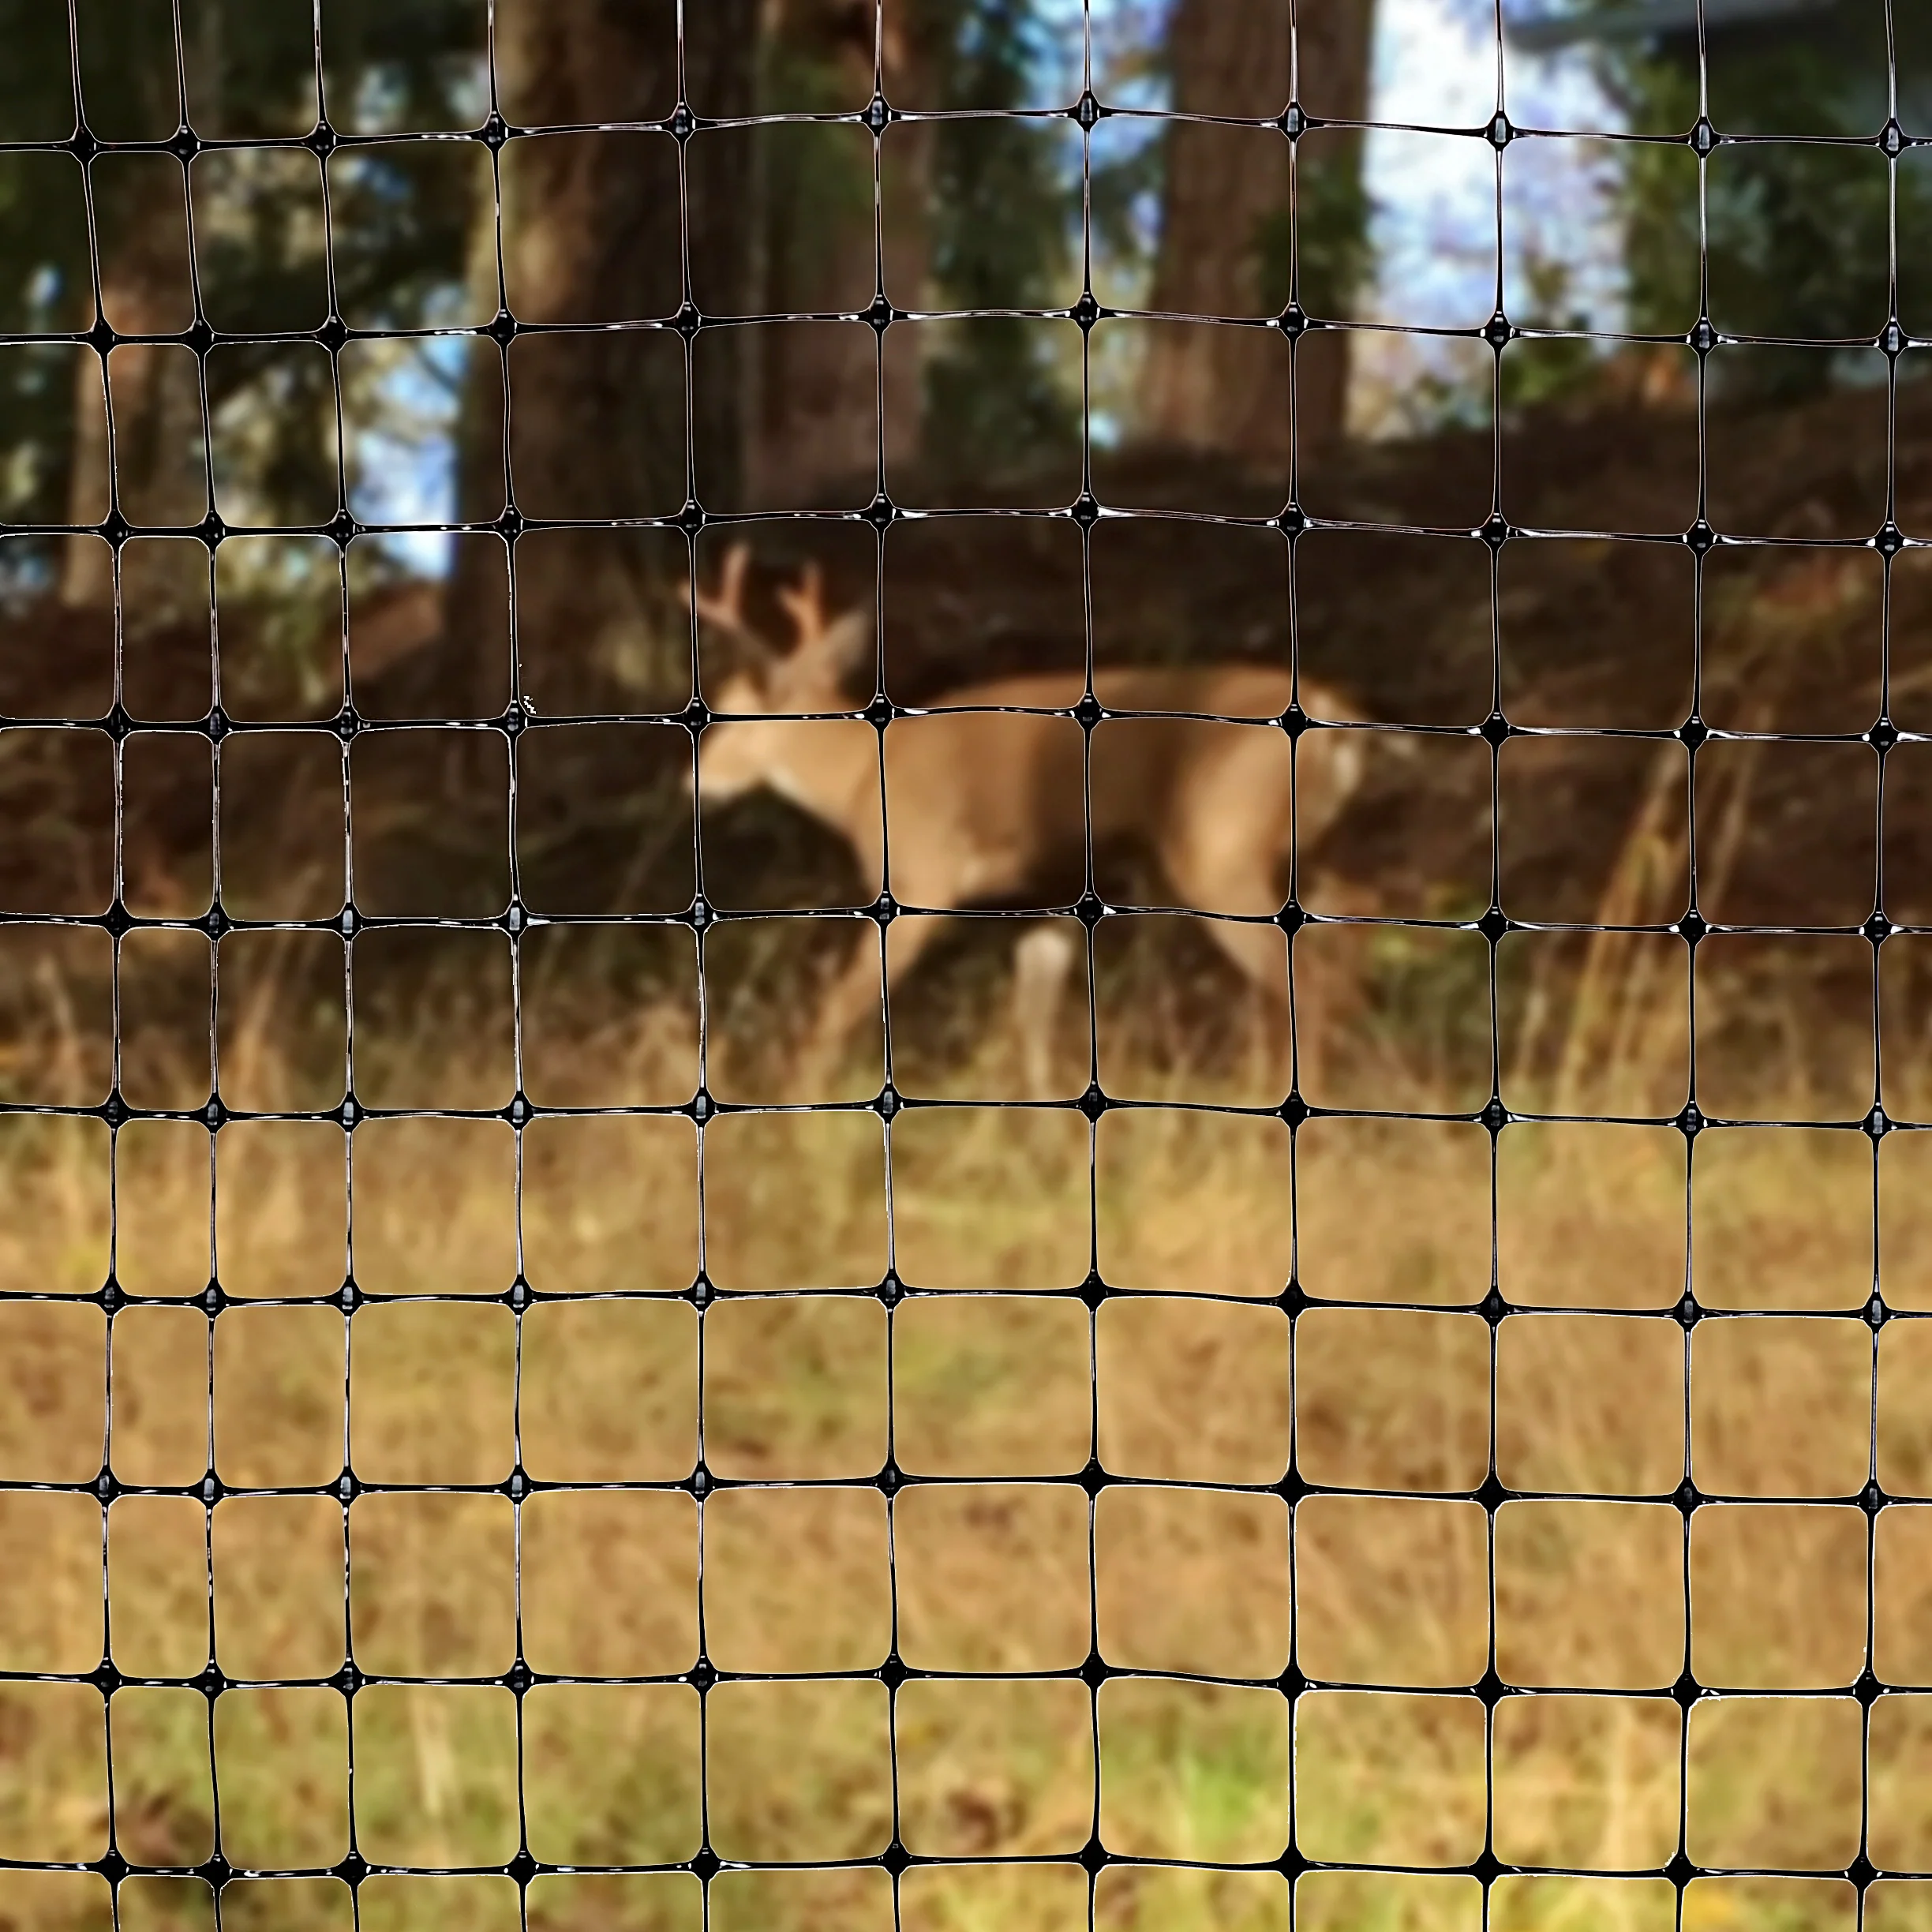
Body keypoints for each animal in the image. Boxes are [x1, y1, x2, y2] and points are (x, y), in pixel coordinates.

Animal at [689, 544, 1370, 1095]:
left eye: (732, 712)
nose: (695, 781)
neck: (859, 778)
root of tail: (1335, 717)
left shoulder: (920, 876)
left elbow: (844, 1004)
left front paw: (793, 1103)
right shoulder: (1048, 897)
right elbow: (1034, 1022)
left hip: (1217, 849)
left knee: (1309, 983)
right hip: (1308, 852)